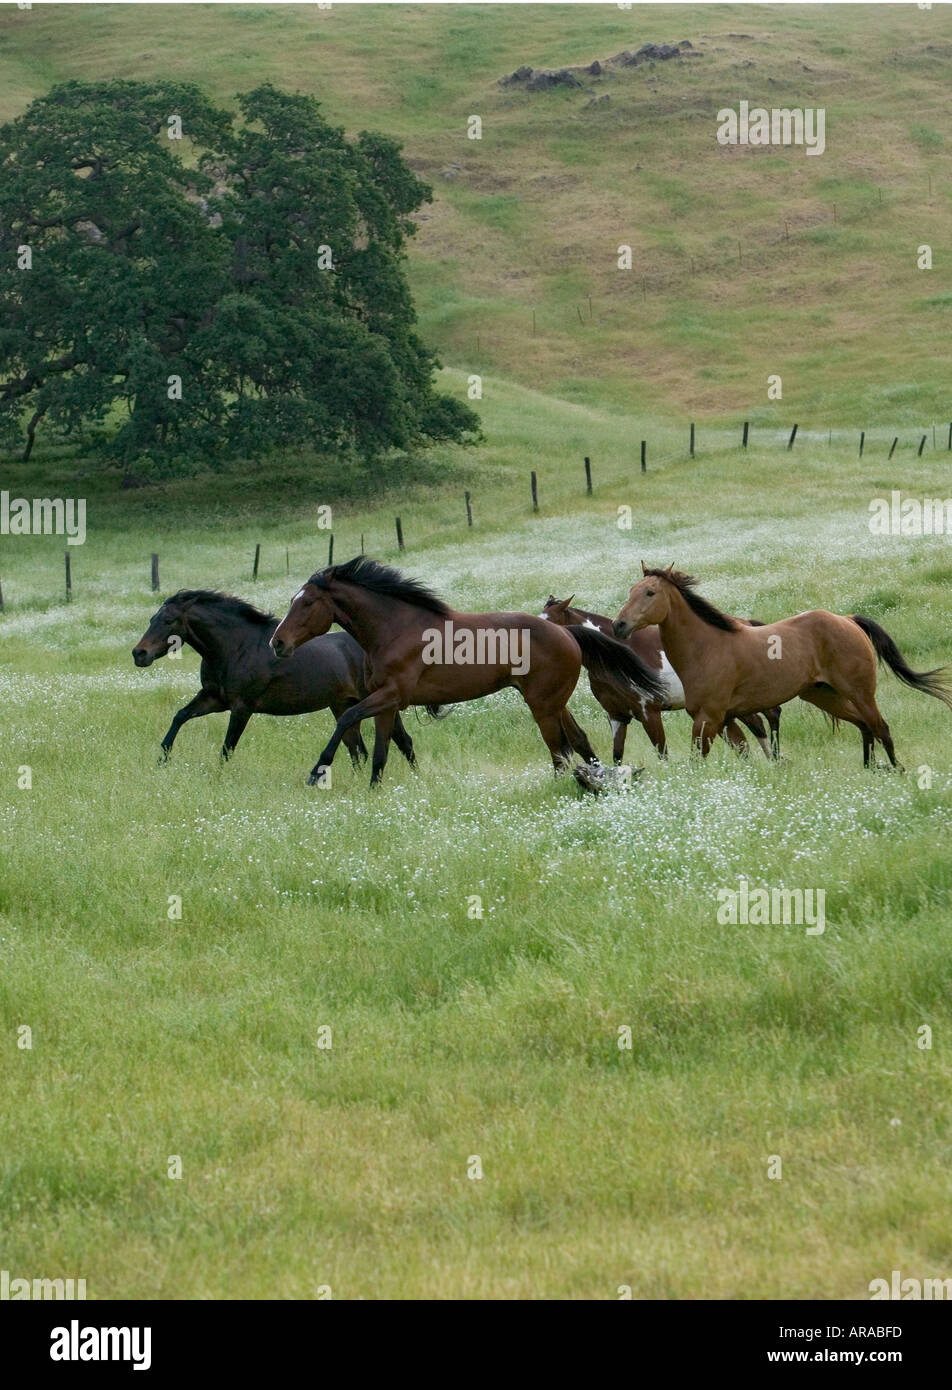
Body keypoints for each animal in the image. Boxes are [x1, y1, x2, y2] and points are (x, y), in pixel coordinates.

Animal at [132, 589, 417, 769]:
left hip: (379, 702)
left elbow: (227, 748)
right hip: (342, 706)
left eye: (169, 620)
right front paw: (162, 760)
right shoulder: (213, 699)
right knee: (357, 749)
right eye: (152, 619)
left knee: (403, 741)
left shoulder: (242, 707)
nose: (139, 654)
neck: (235, 648)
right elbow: (180, 716)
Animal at [269, 556, 668, 788]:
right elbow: (383, 749)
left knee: (558, 751)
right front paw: (374, 789)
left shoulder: (391, 695)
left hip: (542, 705)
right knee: (578, 742)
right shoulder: (387, 701)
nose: (277, 643)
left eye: (307, 602)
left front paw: (317, 771)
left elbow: (347, 718)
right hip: (552, 702)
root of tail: (567, 633)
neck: (394, 628)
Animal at [541, 594, 781, 760]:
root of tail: (746, 625)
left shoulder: (649, 713)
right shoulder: (617, 717)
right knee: (746, 735)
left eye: (551, 622)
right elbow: (617, 756)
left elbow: (662, 752)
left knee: (766, 719)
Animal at [613, 565, 952, 765]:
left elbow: (701, 760)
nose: (619, 625)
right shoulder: (721, 718)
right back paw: (870, 769)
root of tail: (847, 620)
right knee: (864, 726)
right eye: (631, 591)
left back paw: (897, 771)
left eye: (650, 592)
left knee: (881, 728)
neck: (707, 648)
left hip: (860, 692)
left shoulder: (709, 718)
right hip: (824, 695)